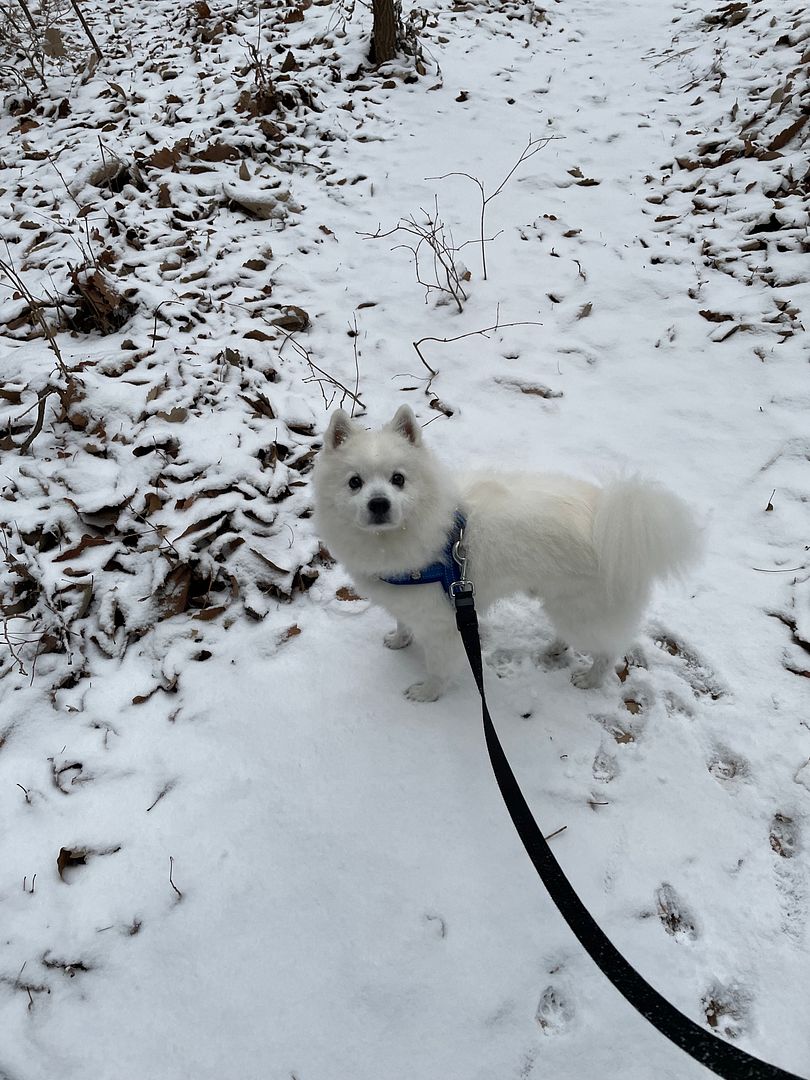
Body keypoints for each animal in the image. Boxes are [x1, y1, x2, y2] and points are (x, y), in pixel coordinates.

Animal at [313, 406, 699, 699]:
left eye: (398, 479)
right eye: (355, 483)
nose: (379, 504)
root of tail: (611, 523)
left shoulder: (441, 623)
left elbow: (438, 666)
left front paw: (427, 693)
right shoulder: (409, 602)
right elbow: (401, 622)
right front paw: (399, 640)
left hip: (583, 609)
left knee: (608, 649)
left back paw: (590, 679)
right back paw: (554, 648)